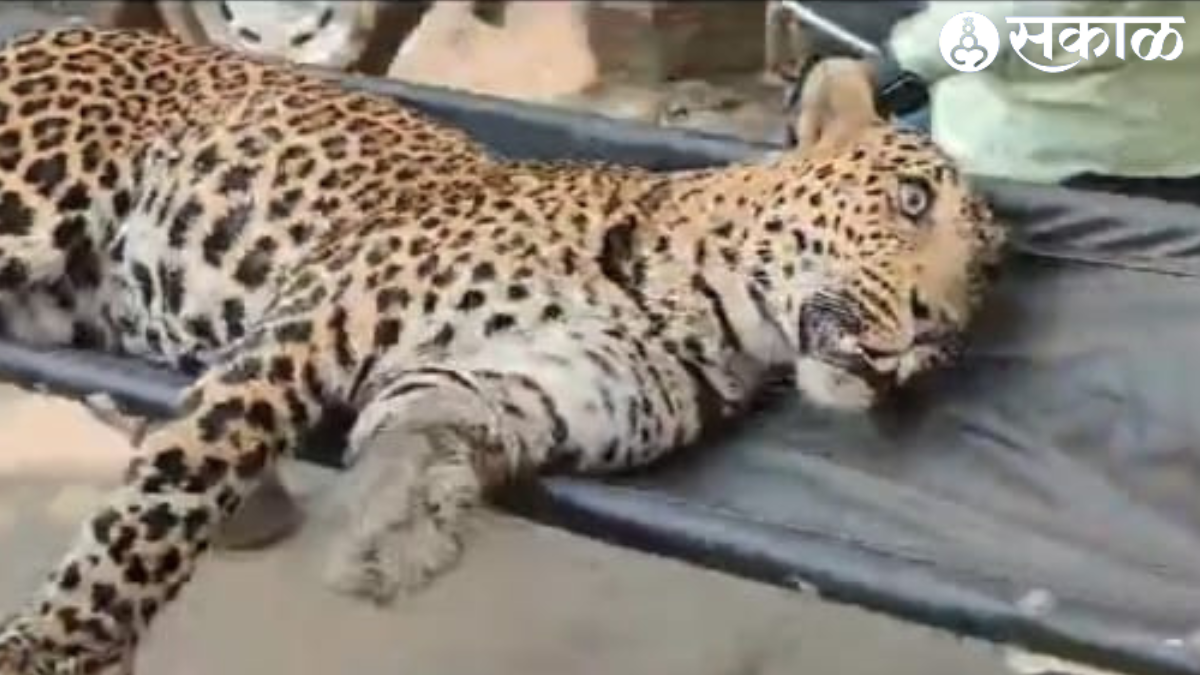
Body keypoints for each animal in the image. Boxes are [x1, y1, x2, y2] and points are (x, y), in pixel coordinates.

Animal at [0, 26, 1005, 675]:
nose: (937, 333)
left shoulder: (529, 388)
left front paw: (390, 532)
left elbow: (430, 432)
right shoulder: (304, 331)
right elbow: (164, 507)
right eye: (912, 199)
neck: (708, 314)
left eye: (985, 277)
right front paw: (55, 644)